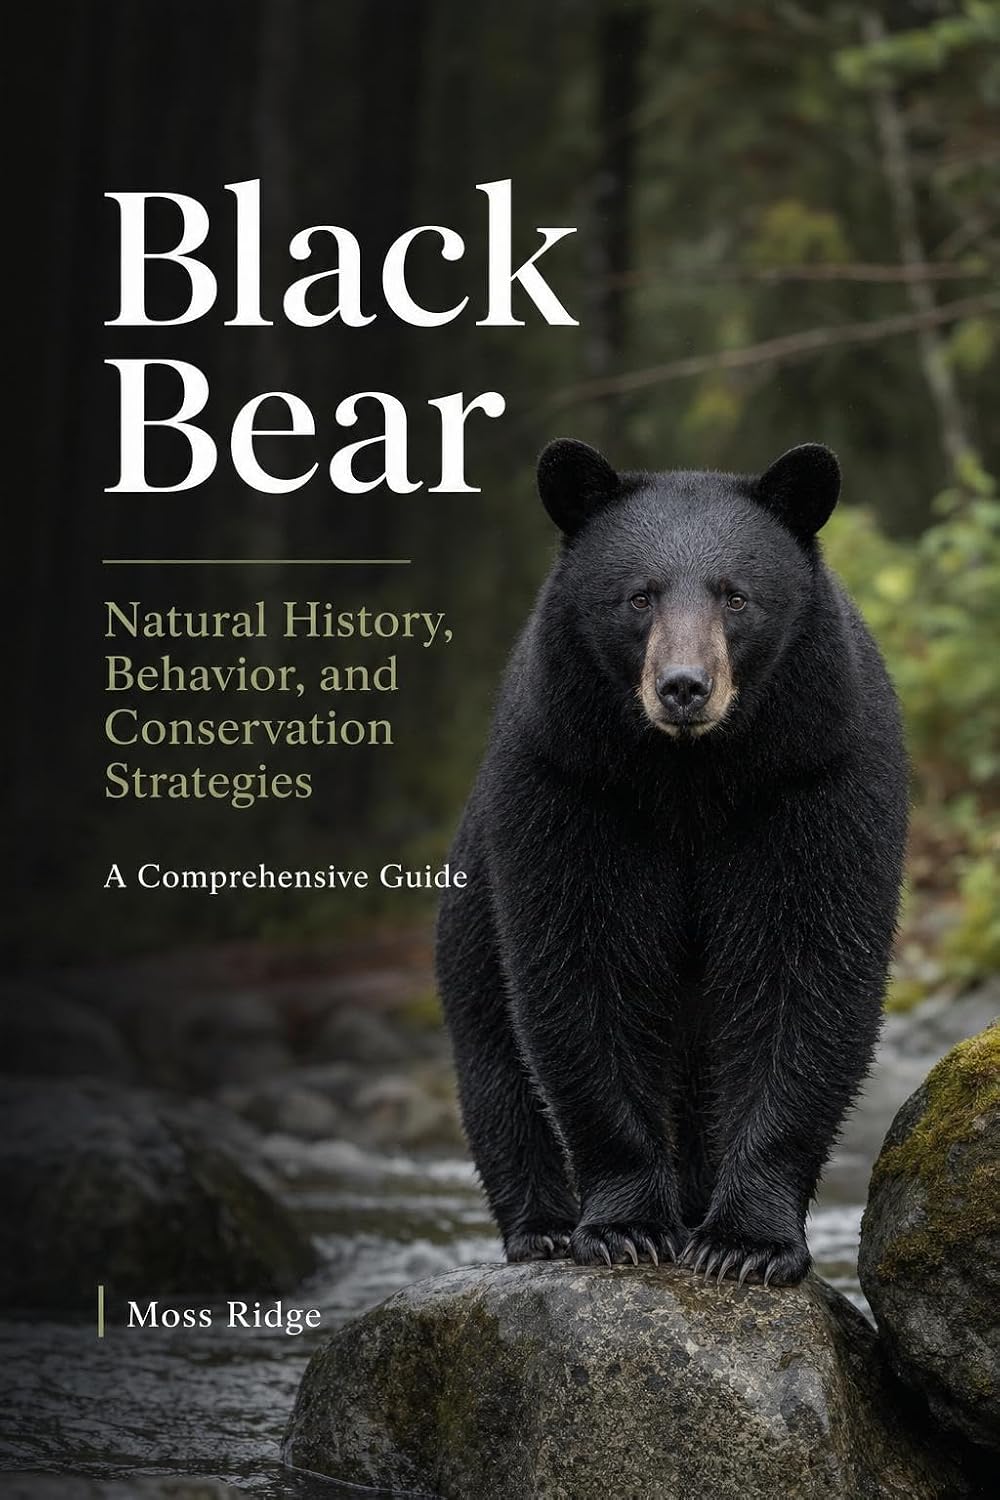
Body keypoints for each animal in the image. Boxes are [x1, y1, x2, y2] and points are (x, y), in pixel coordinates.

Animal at [436, 439, 908, 1285]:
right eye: (639, 597)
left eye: (736, 597)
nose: (684, 687)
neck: (690, 775)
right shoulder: (572, 783)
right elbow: (579, 969)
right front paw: (627, 1227)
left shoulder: (815, 775)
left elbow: (807, 967)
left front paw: (745, 1243)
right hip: (470, 909)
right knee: (493, 1054)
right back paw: (543, 1227)